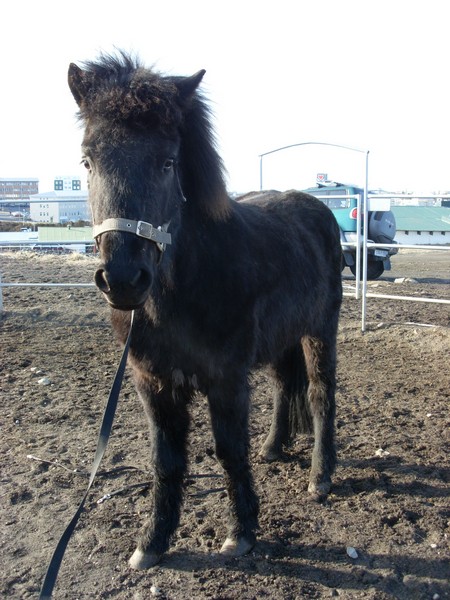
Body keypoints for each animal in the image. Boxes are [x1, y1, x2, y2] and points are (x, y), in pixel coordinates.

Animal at [68, 51, 342, 570]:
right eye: (87, 160)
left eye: (168, 162)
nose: (123, 278)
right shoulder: (151, 383)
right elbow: (165, 460)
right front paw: (152, 542)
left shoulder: (226, 379)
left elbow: (229, 451)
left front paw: (242, 534)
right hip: (283, 338)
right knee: (284, 386)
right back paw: (273, 449)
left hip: (320, 331)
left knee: (320, 395)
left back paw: (320, 477)